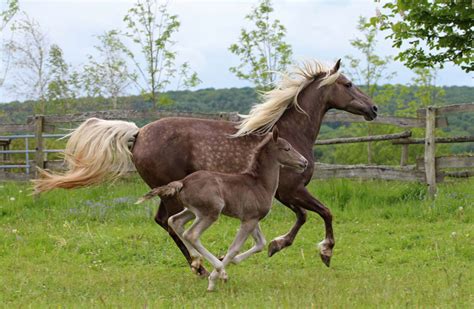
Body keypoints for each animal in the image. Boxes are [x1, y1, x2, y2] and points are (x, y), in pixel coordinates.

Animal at [136, 126, 308, 290]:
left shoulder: (252, 219)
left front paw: (231, 261)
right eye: (287, 148)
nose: (304, 162)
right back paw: (217, 271)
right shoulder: (249, 220)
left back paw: (197, 260)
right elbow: (234, 248)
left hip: (192, 211)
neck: (259, 184)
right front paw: (216, 277)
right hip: (211, 212)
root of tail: (182, 182)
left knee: (174, 221)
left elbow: (260, 244)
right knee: (191, 234)